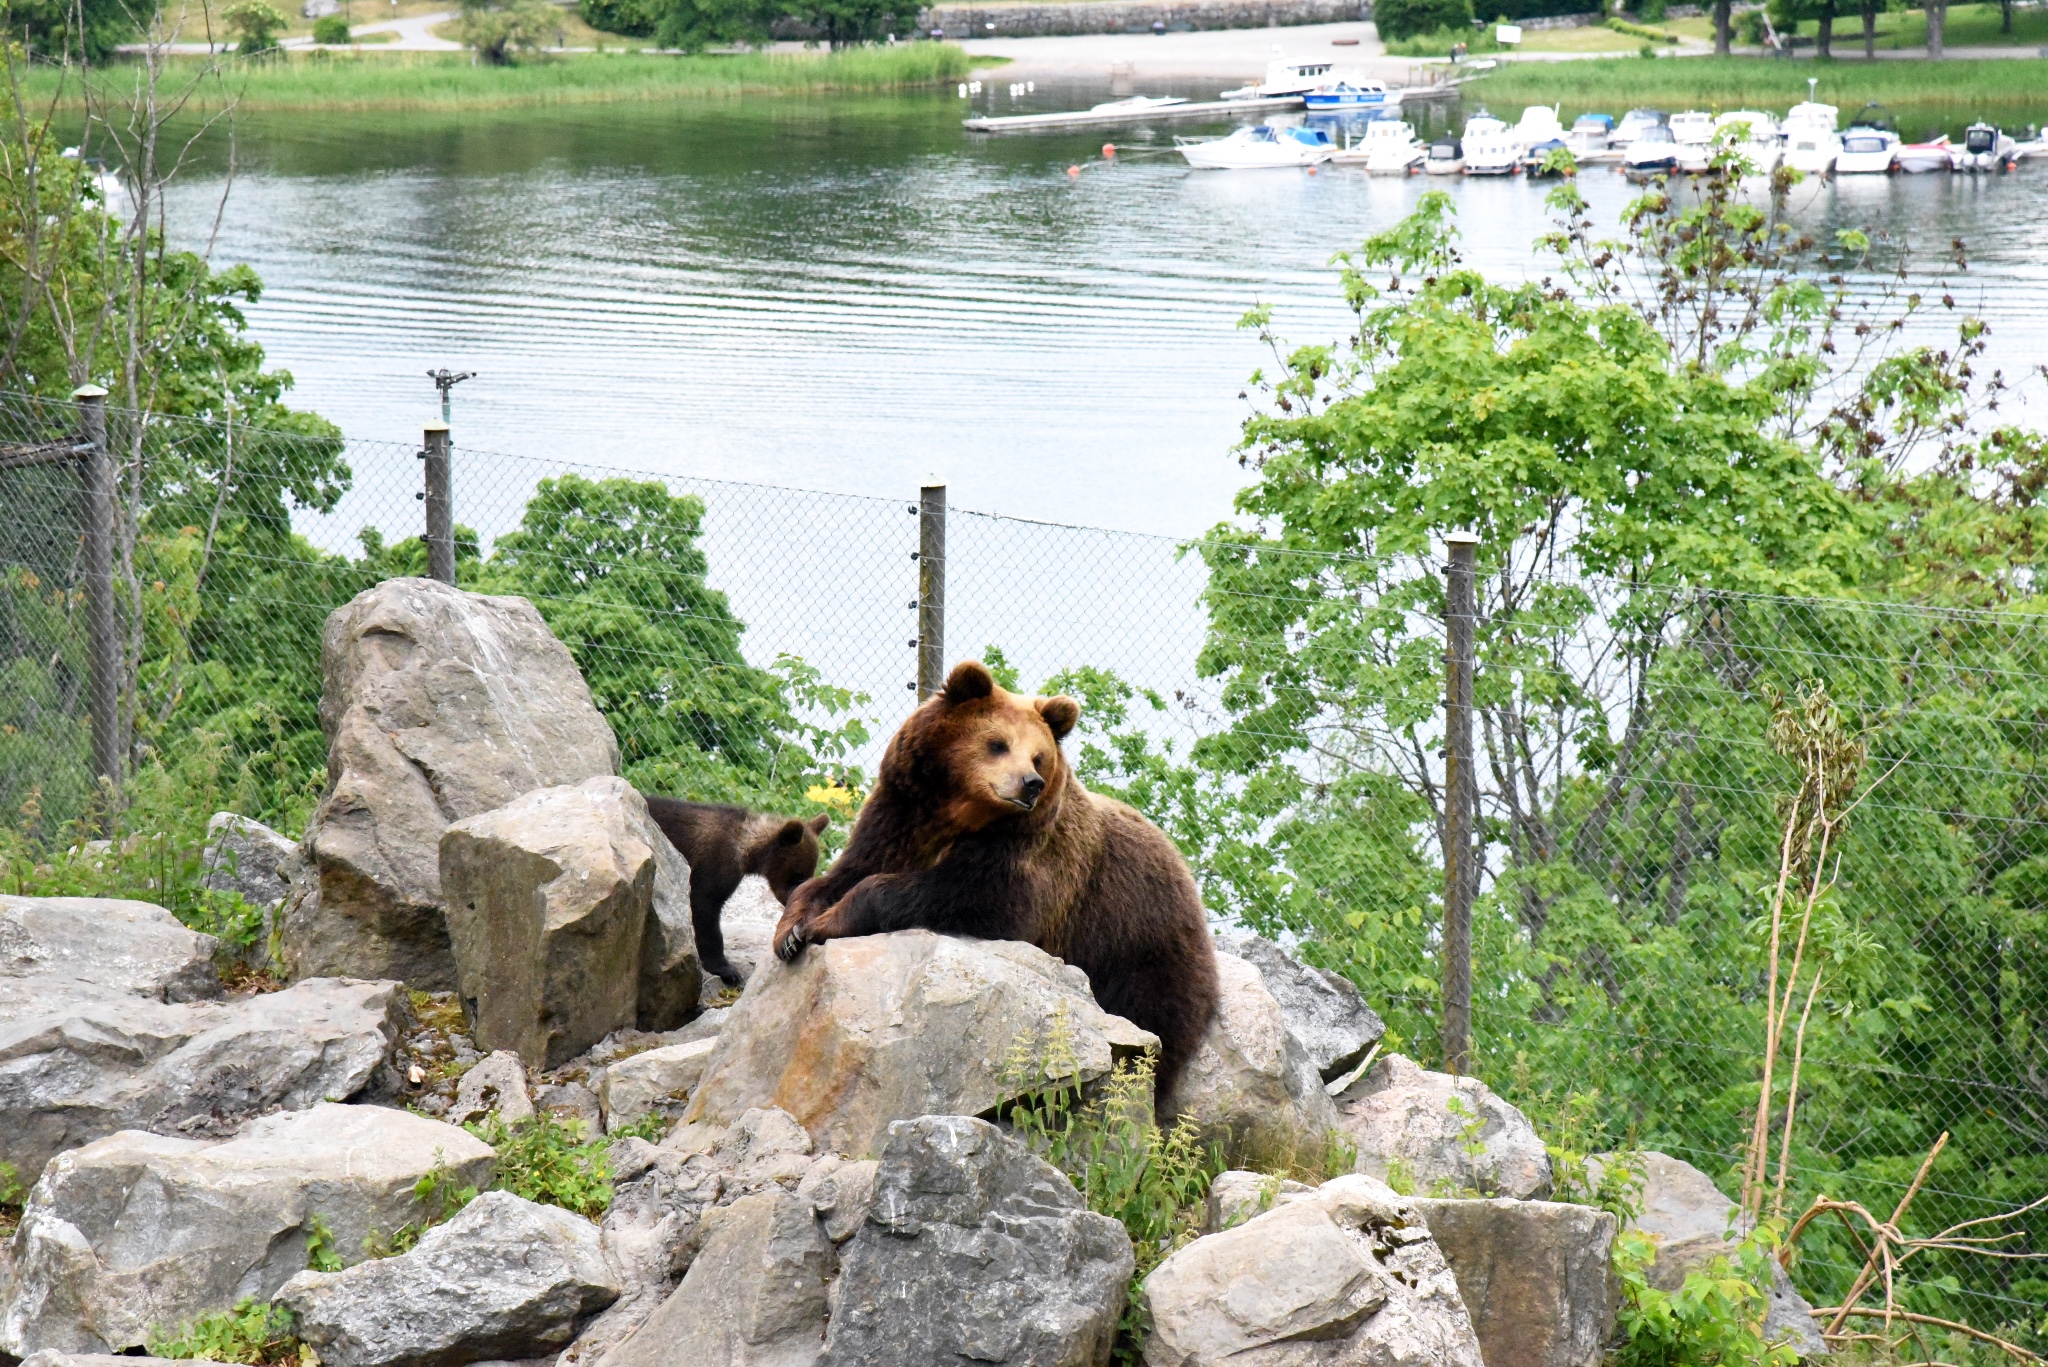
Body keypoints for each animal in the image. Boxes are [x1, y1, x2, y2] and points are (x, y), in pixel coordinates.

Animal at [643, 803, 827, 983]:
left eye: (810, 874)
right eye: (798, 877)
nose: (798, 901)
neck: (746, 849)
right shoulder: (713, 863)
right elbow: (706, 907)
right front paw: (726, 970)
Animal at [770, 655, 1212, 1098]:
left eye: (1038, 756)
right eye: (998, 743)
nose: (1031, 784)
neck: (959, 815)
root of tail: (1186, 878)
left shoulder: (1025, 858)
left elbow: (970, 899)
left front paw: (827, 922)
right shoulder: (898, 817)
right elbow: (844, 872)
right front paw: (791, 932)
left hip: (1134, 946)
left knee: (1154, 1031)